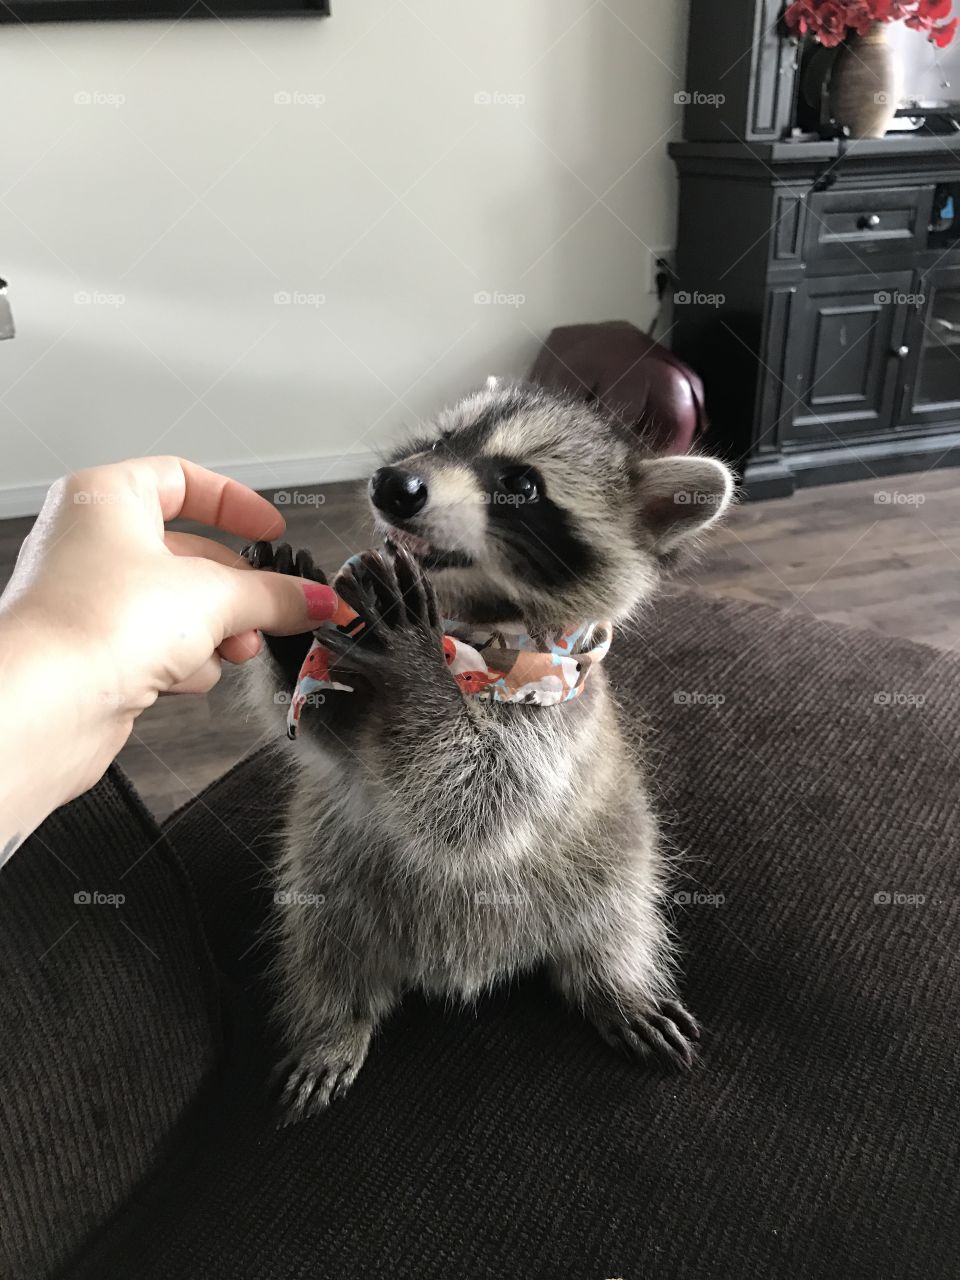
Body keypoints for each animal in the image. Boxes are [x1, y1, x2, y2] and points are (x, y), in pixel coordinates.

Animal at [243, 381, 734, 1121]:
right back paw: (335, 1020)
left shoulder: (558, 718)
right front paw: (294, 636)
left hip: (610, 867)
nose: (393, 484)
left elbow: (480, 802)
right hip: (329, 885)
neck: (470, 626)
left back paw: (615, 981)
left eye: (521, 484)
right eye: (442, 443)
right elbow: (335, 742)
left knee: (618, 911)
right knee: (325, 945)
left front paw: (416, 670)